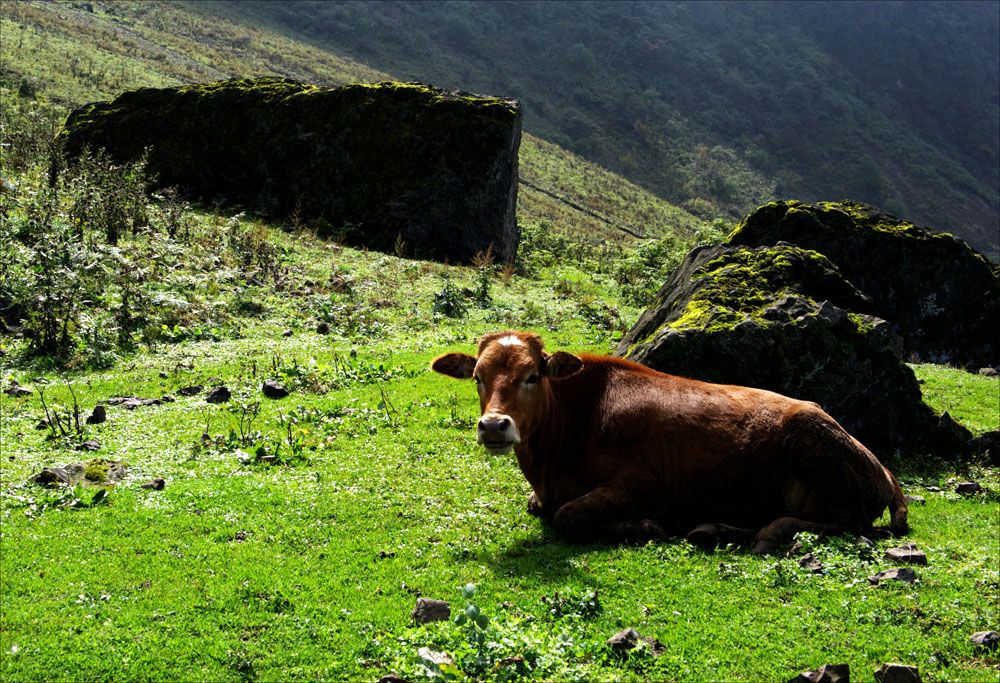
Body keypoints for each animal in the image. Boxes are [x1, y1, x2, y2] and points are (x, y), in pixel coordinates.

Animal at [430, 332, 908, 556]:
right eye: (478, 377)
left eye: (532, 376)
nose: (494, 426)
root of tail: (883, 469)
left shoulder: (641, 483)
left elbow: (568, 516)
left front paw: (643, 526)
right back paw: (713, 529)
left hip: (824, 464)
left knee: (847, 525)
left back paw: (768, 532)